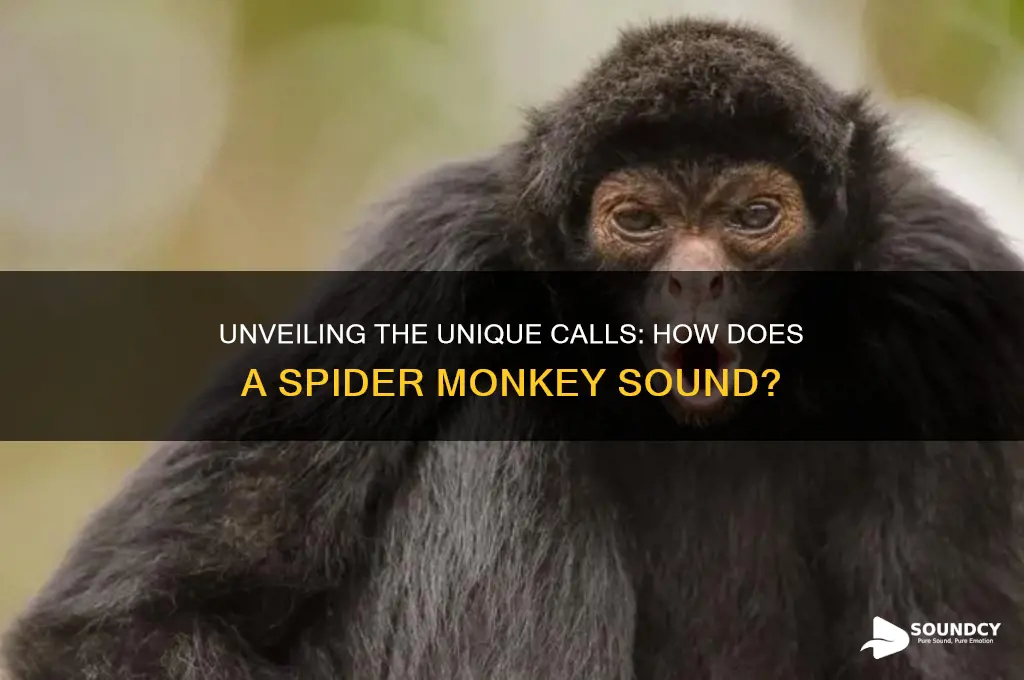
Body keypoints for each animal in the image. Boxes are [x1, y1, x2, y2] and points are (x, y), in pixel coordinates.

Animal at [4, 17, 1024, 680]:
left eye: (753, 217)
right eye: (639, 222)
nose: (696, 280)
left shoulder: (953, 291)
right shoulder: (435, 246)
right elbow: (119, 620)